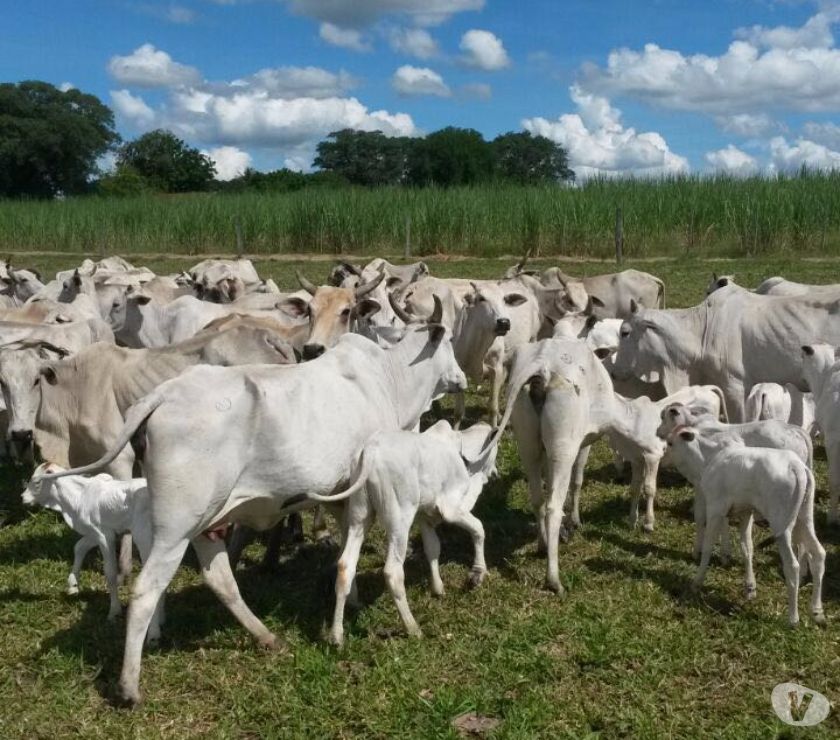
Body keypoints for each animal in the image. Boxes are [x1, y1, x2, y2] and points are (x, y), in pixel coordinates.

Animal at [43, 297, 466, 705]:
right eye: (447, 341)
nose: (461, 378)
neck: (389, 379)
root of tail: (162, 395)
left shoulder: (341, 494)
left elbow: (346, 544)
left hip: (206, 521)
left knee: (220, 578)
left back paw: (266, 637)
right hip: (175, 527)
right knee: (147, 590)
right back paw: (130, 686)